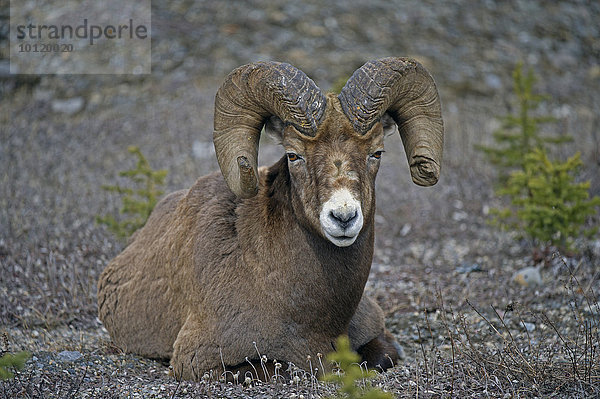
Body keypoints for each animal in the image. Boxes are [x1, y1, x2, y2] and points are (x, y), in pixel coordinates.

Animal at [98, 57, 442, 382]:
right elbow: (285, 368)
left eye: (377, 153)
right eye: (293, 155)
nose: (343, 217)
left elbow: (383, 355)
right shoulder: (201, 363)